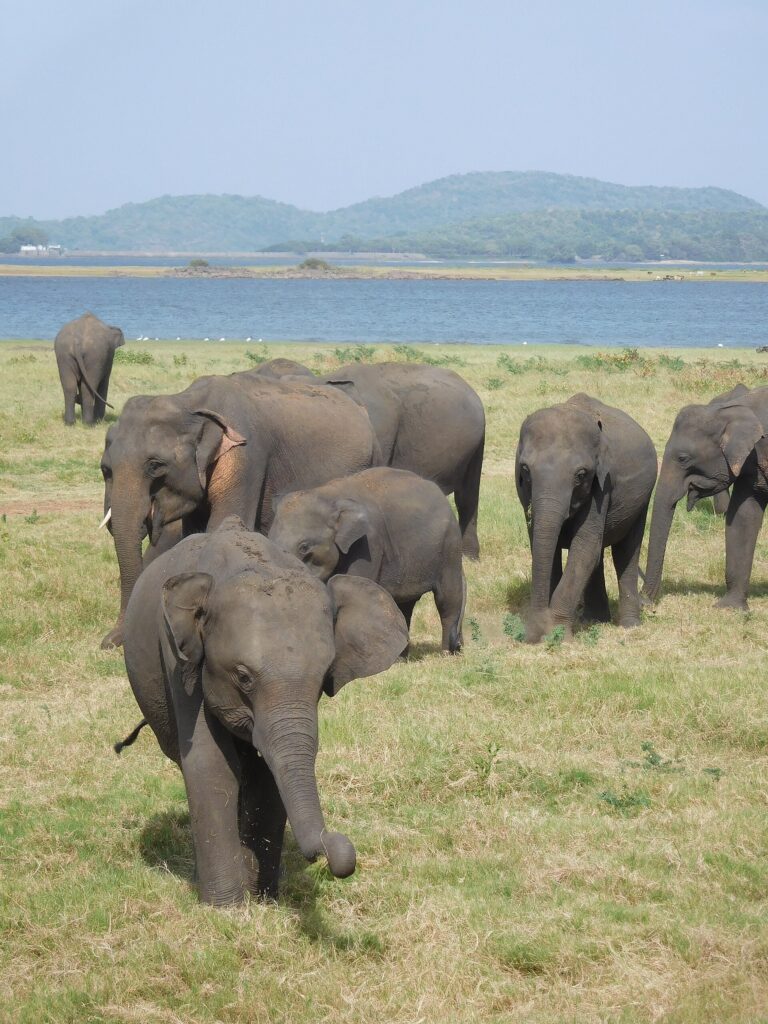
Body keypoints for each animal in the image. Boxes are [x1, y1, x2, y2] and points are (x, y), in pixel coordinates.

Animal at [100, 371, 379, 649]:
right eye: (105, 469)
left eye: (155, 465)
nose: (111, 643)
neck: (189, 402)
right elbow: (194, 534)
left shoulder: (245, 459)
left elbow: (222, 525)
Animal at [121, 516, 408, 905]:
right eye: (243, 677)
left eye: (323, 679)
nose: (338, 850)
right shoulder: (181, 663)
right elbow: (211, 765)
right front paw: (226, 908)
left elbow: (267, 772)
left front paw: (263, 900)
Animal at [268, 467, 466, 652]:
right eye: (269, 539)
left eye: (304, 547)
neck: (328, 495)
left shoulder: (368, 544)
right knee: (405, 606)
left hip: (449, 549)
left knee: (448, 598)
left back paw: (445, 653)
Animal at [516, 393, 657, 643]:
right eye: (525, 469)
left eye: (581, 475)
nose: (531, 635)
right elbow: (545, 546)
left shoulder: (602, 486)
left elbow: (583, 548)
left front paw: (559, 636)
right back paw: (596, 620)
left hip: (642, 499)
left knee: (626, 550)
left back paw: (629, 626)